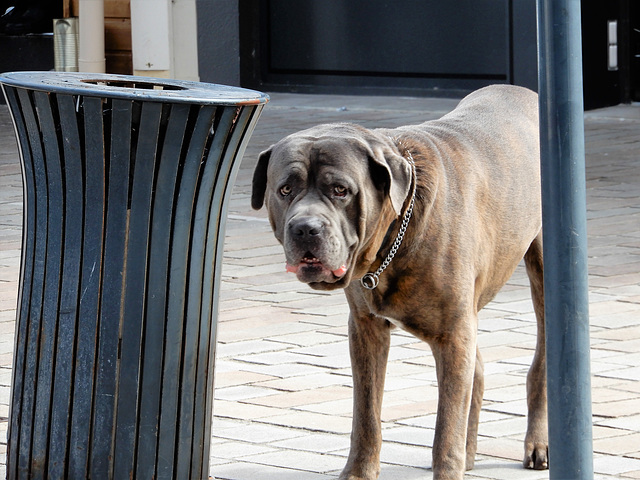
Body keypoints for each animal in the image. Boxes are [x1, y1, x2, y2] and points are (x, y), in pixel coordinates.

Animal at [252, 84, 548, 478]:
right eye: (285, 190)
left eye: (340, 190)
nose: (305, 228)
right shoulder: (366, 330)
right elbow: (366, 414)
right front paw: (358, 471)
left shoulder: (454, 335)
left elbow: (445, 430)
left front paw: (448, 466)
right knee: (478, 370)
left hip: (543, 275)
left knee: (540, 365)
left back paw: (537, 445)